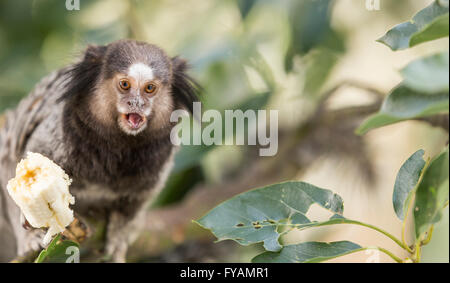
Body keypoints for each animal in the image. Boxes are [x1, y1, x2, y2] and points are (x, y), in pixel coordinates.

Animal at [0, 38, 199, 262]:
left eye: (150, 88)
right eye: (124, 85)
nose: (136, 103)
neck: (119, 144)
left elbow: (136, 202)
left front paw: (120, 235)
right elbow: (22, 165)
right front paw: (29, 230)